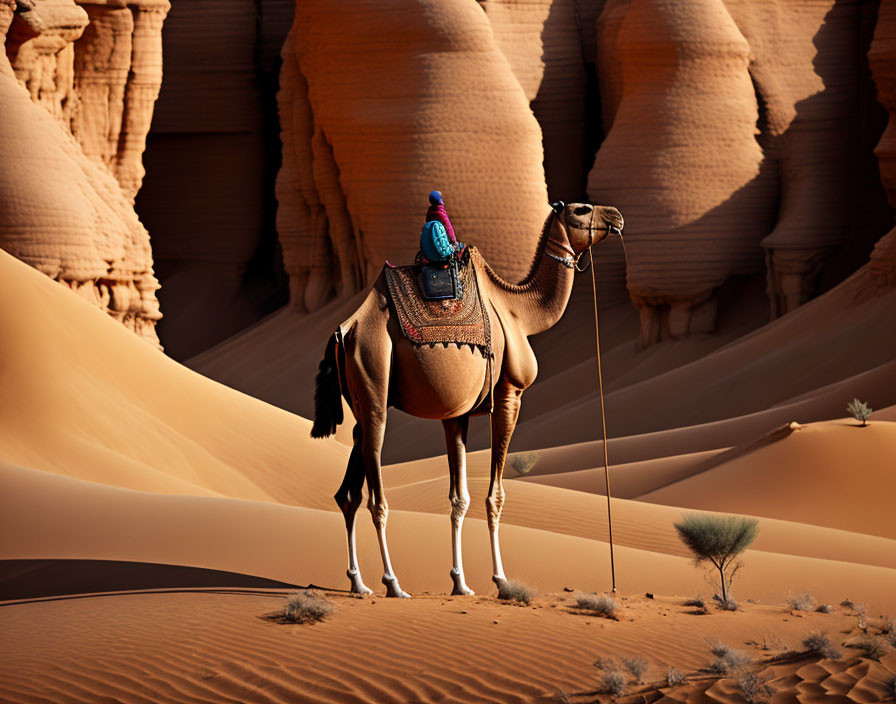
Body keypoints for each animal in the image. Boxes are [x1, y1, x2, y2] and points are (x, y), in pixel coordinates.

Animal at [314, 201, 624, 596]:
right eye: (581, 210)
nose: (616, 216)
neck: (521, 312)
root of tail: (346, 329)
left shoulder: (456, 414)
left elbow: (459, 498)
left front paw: (460, 582)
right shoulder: (509, 394)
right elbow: (495, 496)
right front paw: (501, 580)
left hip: (357, 401)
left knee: (347, 491)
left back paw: (359, 583)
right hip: (374, 378)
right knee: (375, 496)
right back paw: (393, 584)